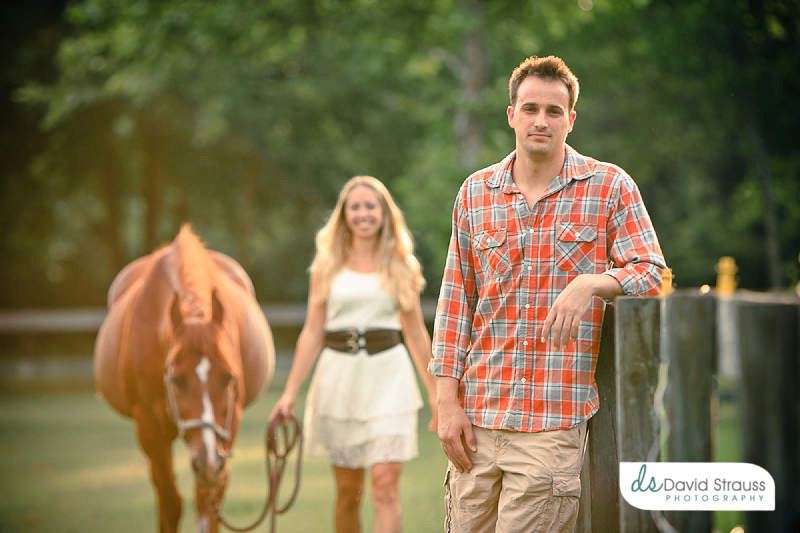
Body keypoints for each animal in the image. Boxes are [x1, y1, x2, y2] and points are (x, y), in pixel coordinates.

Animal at [93, 225, 276, 532]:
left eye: (228, 378)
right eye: (177, 380)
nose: (209, 462)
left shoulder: (229, 424)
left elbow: (207, 506)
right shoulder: (149, 428)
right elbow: (170, 503)